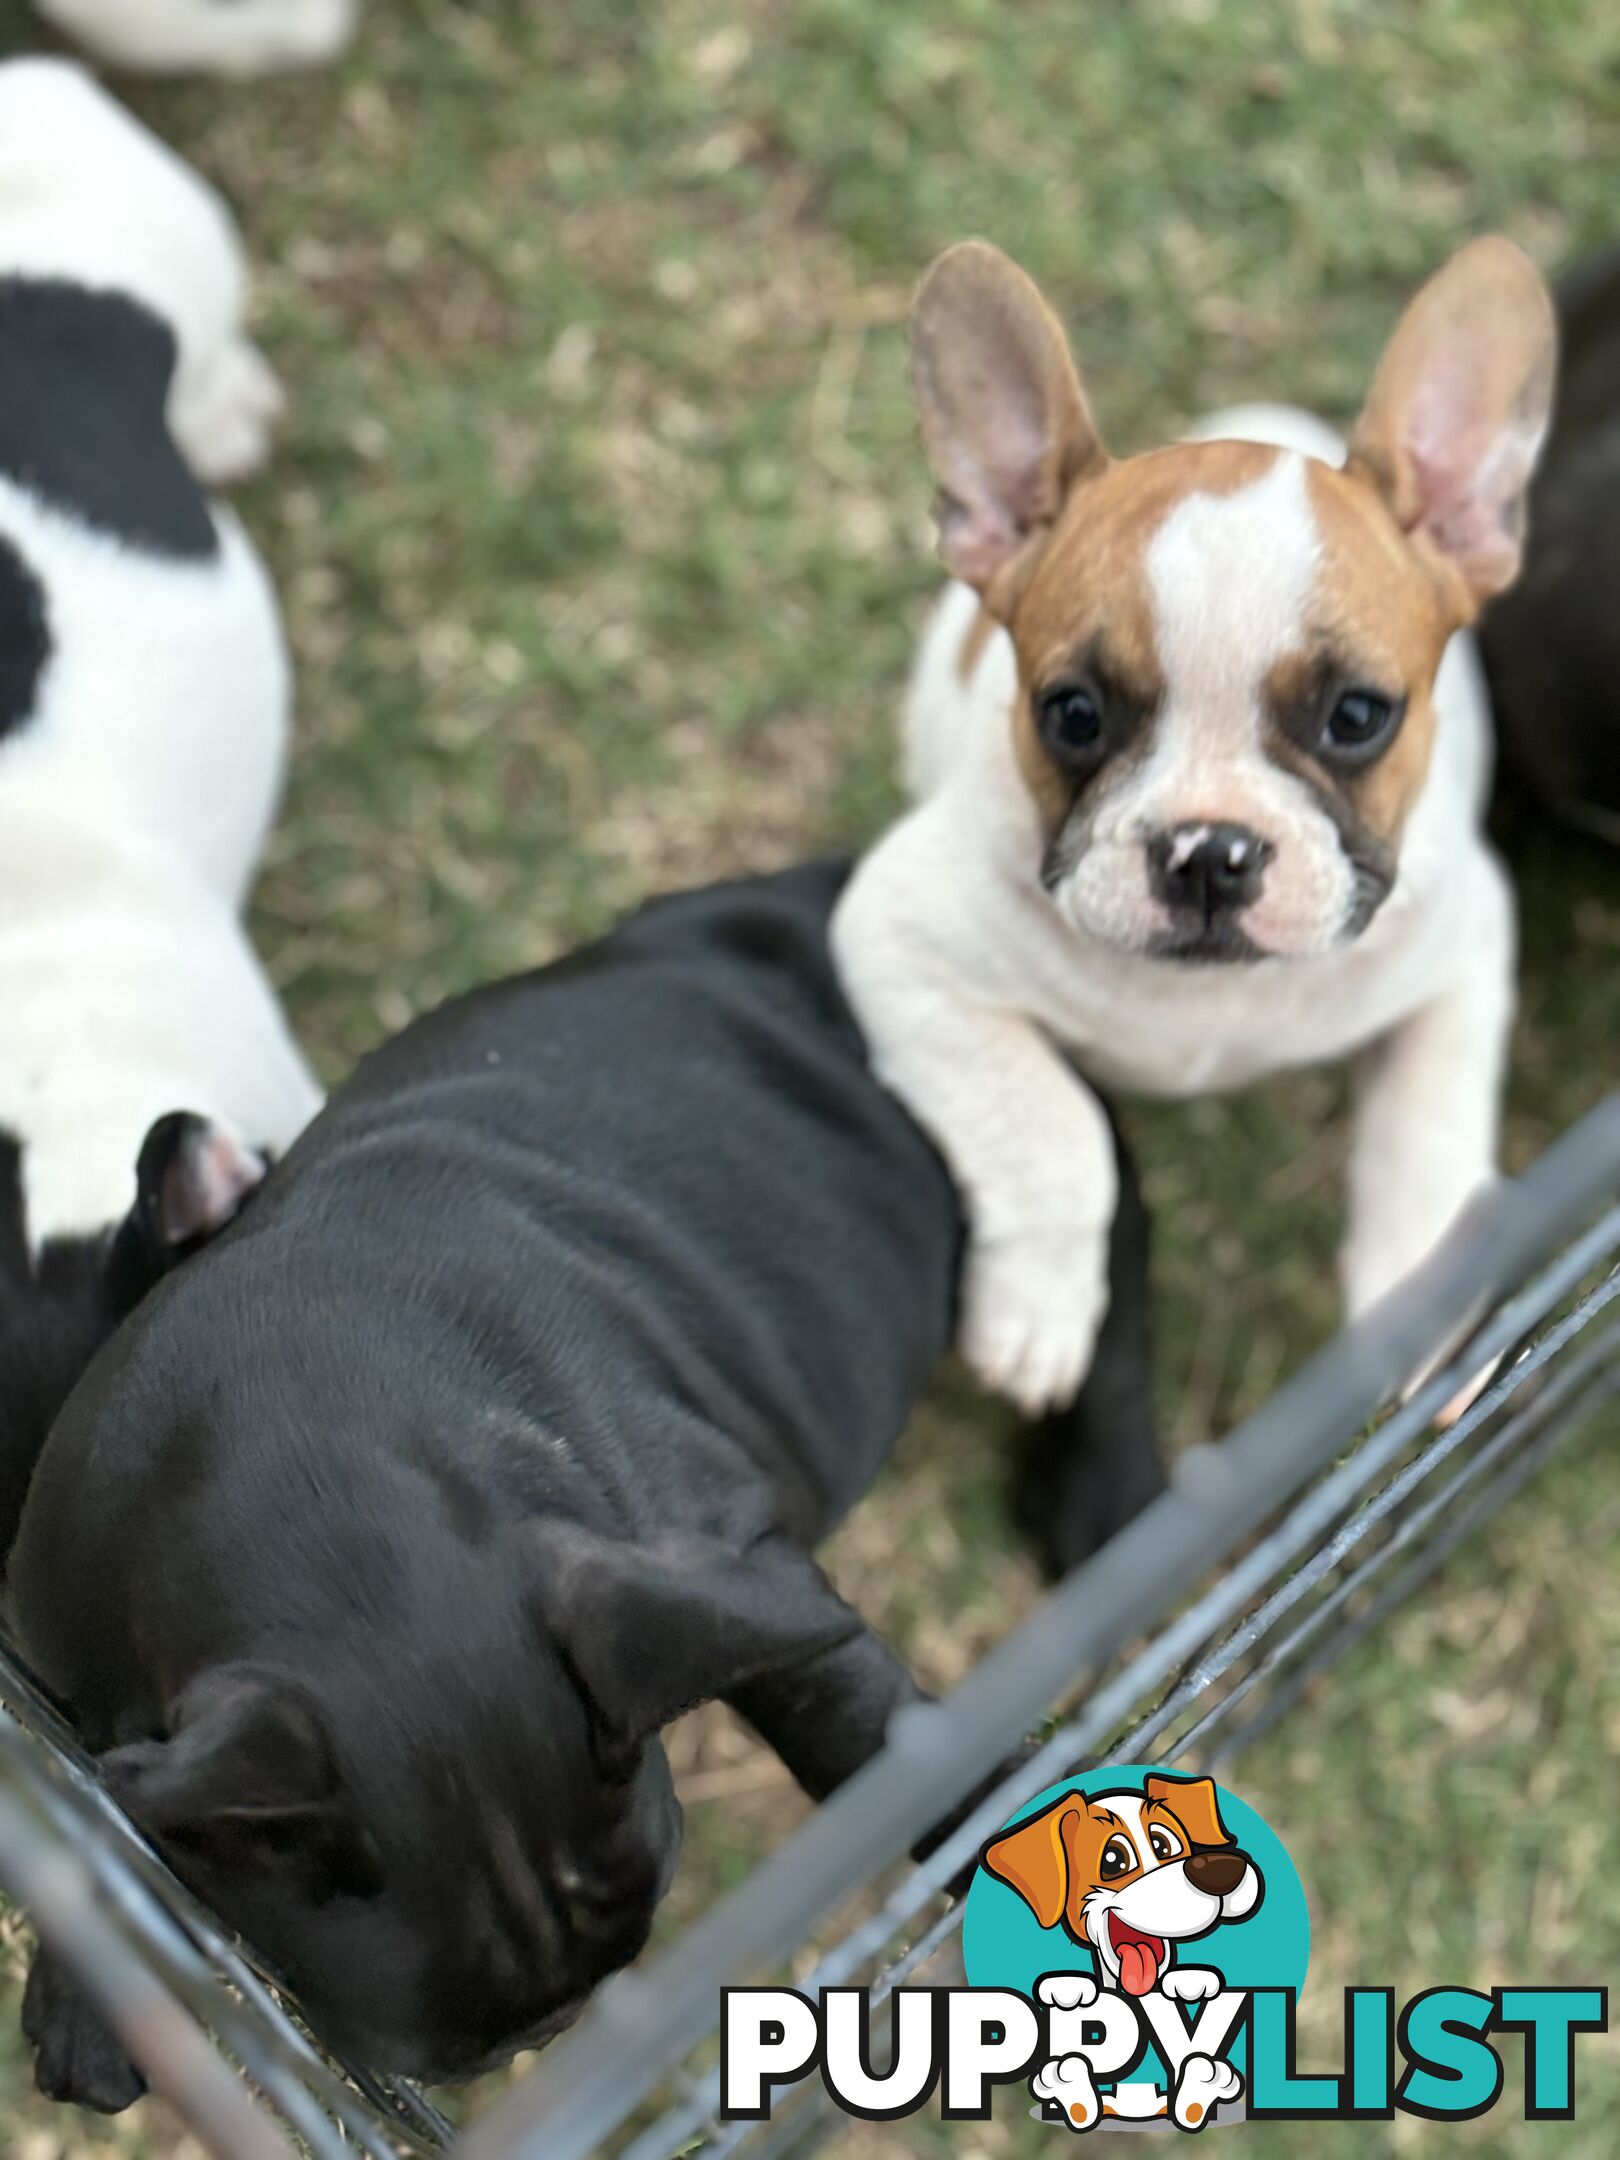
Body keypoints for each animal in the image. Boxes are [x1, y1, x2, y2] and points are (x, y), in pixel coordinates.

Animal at [6, 864, 1157, 2108]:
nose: (554, 2034)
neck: (318, 1490)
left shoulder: (723, 1565)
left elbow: (854, 1717)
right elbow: (115, 1810)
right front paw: (94, 1995)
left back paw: (1108, 1487)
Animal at [838, 236, 1563, 1416]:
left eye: (1357, 716)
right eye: (1072, 714)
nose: (1210, 854)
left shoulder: (1460, 957)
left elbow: (1428, 1142)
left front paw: (1424, 1315)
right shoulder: (899, 941)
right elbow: (1053, 1130)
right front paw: (1041, 1309)